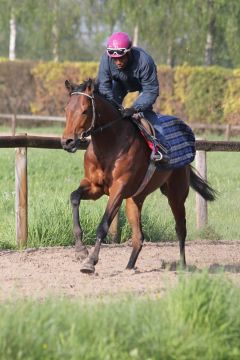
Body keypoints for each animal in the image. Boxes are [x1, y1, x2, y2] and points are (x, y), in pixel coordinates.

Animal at [61, 79, 216, 272]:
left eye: (85, 110)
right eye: (66, 109)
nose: (67, 142)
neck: (109, 145)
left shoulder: (118, 189)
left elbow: (103, 225)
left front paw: (91, 261)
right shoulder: (95, 186)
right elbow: (74, 197)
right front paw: (80, 250)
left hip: (176, 195)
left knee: (181, 228)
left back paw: (182, 265)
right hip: (135, 199)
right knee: (139, 237)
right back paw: (129, 267)